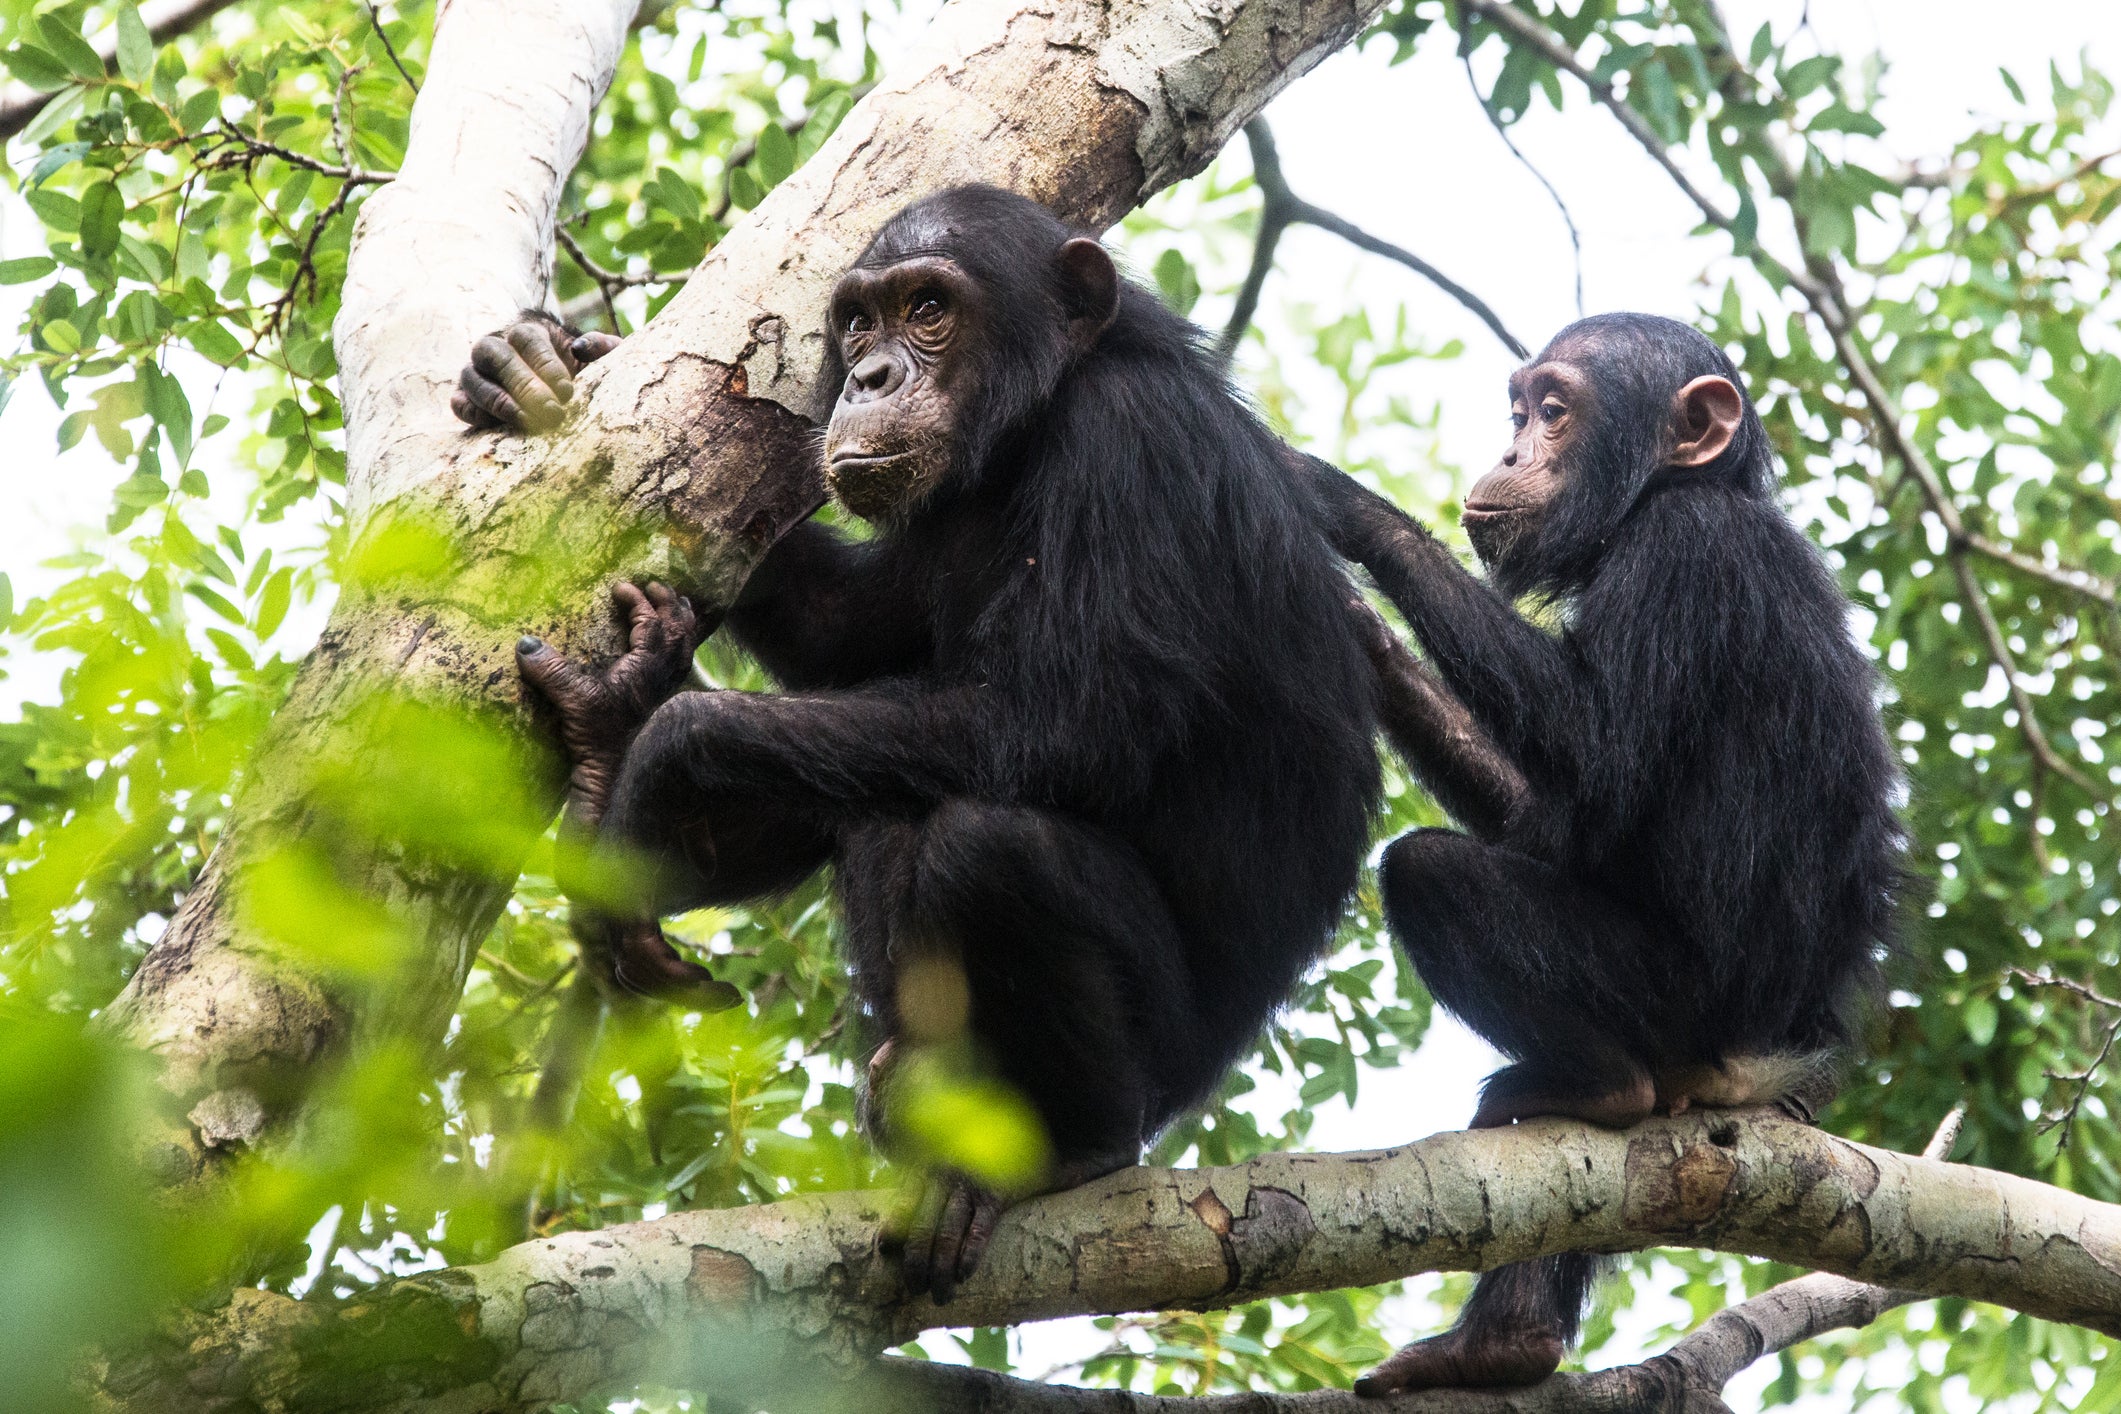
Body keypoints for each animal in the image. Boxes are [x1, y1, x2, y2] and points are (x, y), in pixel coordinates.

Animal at [456, 187, 1382, 1305]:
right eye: (858, 320)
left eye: (930, 309)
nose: (870, 377)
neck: (1030, 432)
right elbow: (850, 632)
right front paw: (538, 360)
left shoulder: (1131, 446)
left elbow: (1064, 724)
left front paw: (668, 751)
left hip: (1162, 1066)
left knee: (990, 847)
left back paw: (1064, 1152)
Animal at [1306, 315, 1908, 1399]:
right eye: (1517, 410)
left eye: (1554, 410)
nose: (1511, 450)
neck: (1662, 496)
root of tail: (1769, 1057)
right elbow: (1559, 822)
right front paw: (1369, 638)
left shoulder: (1683, 553)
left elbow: (1596, 748)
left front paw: (1337, 501)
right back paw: (1501, 1342)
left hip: (1675, 1003)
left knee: (1433, 876)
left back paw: (1590, 1088)